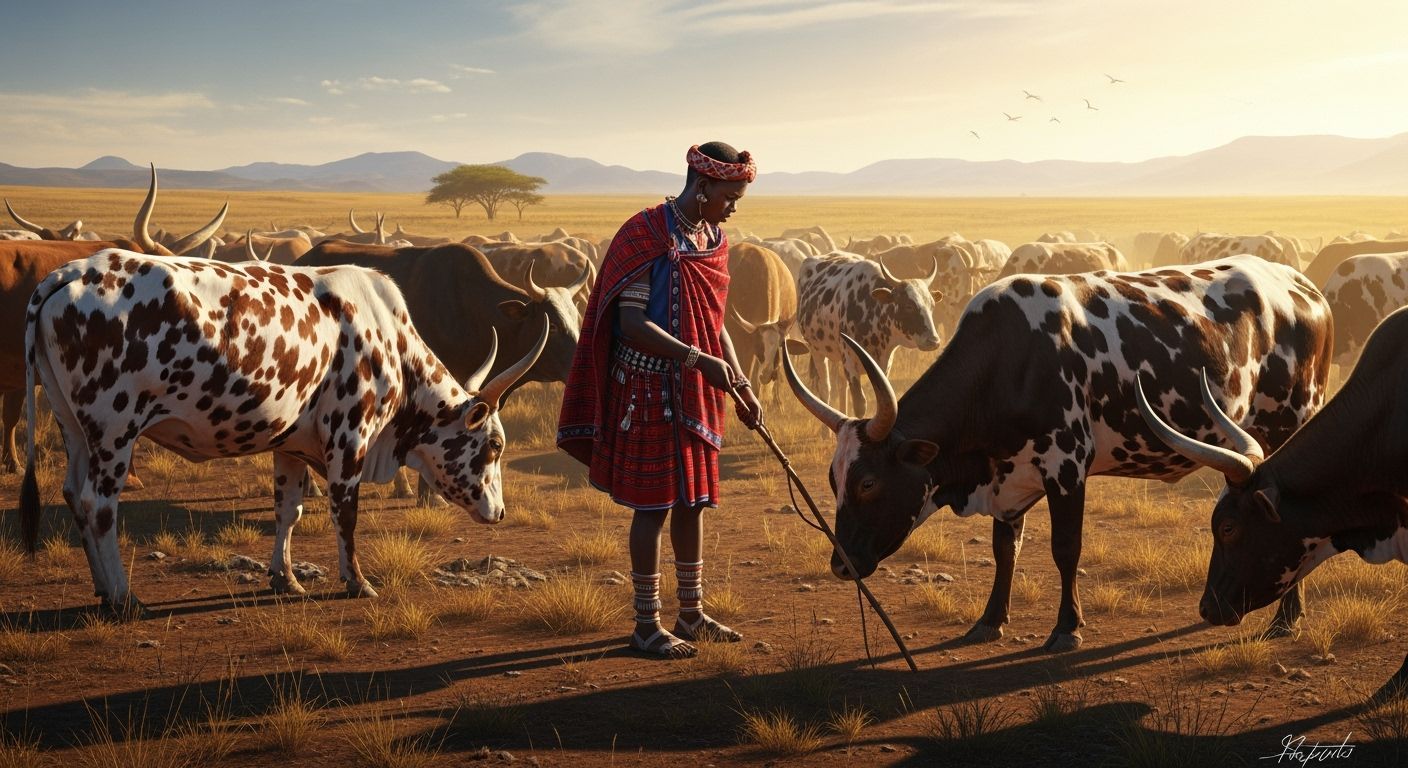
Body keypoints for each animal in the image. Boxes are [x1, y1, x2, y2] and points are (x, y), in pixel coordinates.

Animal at [20, 250, 547, 616]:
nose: (499, 512)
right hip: (115, 431)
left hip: (74, 429)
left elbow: (288, 510)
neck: (390, 342)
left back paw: (102, 589)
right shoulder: (349, 439)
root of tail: (68, 274)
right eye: (494, 445)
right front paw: (357, 581)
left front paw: (285, 577)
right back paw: (123, 597)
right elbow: (345, 515)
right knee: (98, 505)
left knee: (73, 494)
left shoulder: (290, 446)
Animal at [795, 253, 942, 419]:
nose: (933, 341)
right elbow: (860, 404)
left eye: (932, 305)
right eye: (909, 306)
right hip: (816, 351)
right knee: (825, 389)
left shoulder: (883, 366)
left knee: (841, 387)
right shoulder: (849, 360)